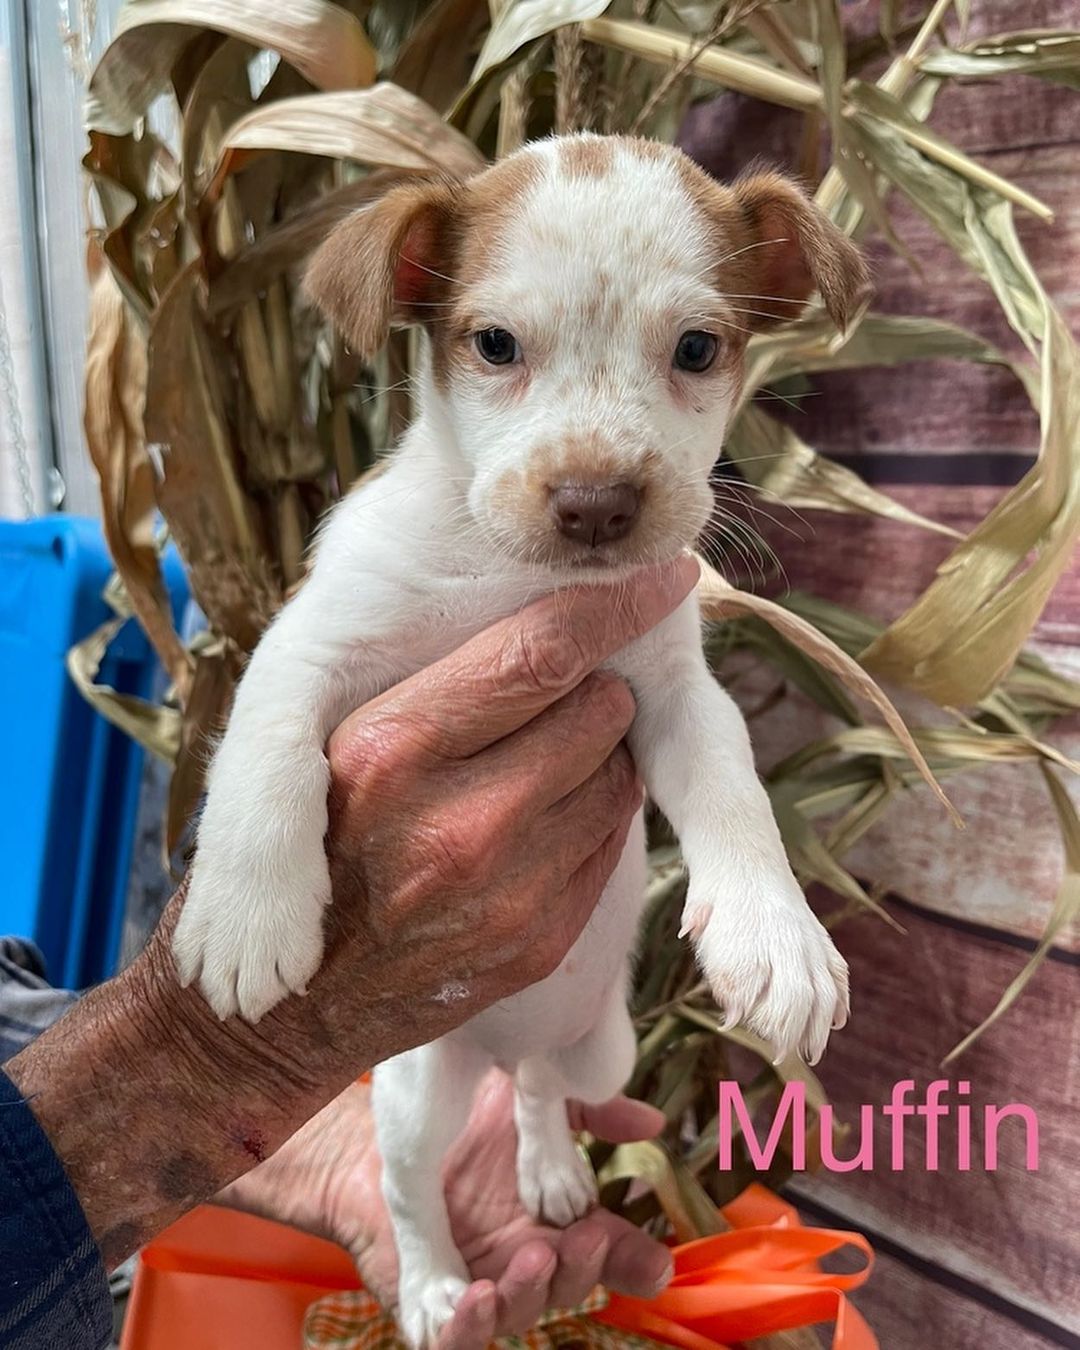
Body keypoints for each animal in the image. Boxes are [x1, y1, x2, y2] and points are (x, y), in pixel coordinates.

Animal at [176, 134, 869, 1350]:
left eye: (698, 349)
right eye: (494, 344)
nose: (595, 504)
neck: (512, 580)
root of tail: (493, 1047)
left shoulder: (676, 695)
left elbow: (737, 795)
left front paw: (775, 934)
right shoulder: (311, 645)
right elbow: (263, 755)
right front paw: (245, 913)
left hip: (602, 1044)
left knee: (546, 1086)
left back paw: (548, 1166)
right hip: (414, 1090)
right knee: (410, 1186)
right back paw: (432, 1286)